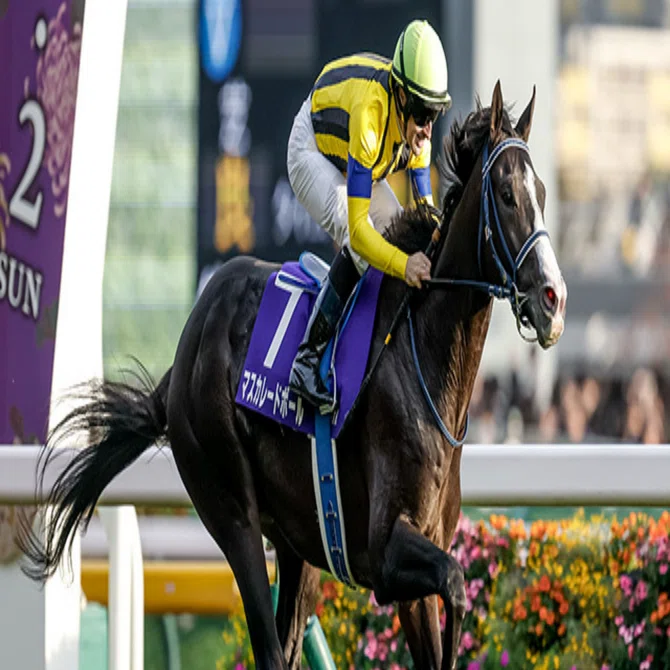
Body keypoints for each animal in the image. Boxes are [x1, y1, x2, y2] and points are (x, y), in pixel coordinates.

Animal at [20, 80, 566, 670]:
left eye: (541, 192)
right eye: (507, 195)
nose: (553, 298)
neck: (424, 361)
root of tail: (186, 350)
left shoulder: (417, 555)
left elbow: (449, 596)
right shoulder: (386, 550)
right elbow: (457, 582)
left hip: (298, 539)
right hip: (230, 507)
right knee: (266, 640)